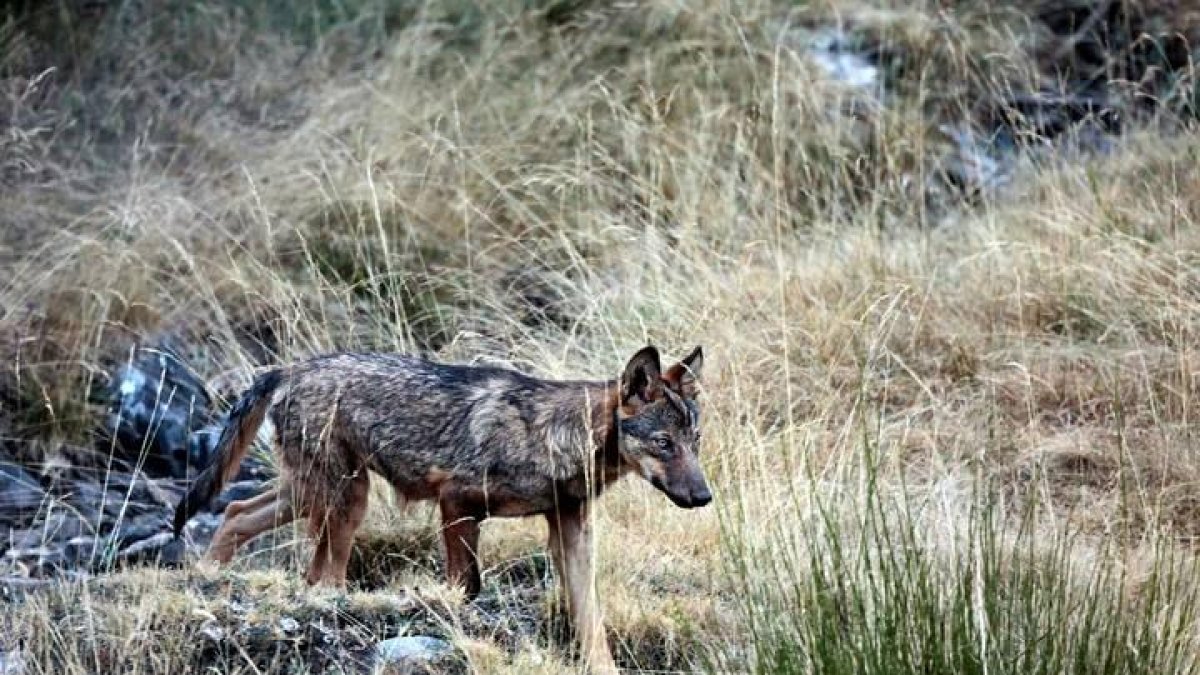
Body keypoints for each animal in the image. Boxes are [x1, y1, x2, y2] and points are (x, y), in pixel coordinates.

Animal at [172, 345, 710, 673]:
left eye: (696, 442)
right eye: (664, 444)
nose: (704, 498)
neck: (553, 437)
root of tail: (287, 369)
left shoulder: (571, 531)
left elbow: (590, 621)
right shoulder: (457, 503)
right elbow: (465, 586)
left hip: (315, 495)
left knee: (237, 512)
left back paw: (207, 576)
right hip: (343, 499)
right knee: (318, 575)